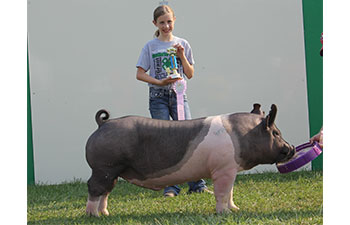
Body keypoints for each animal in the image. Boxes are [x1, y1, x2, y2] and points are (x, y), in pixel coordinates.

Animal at [85, 103, 296, 216]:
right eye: (276, 133)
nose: (292, 148)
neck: (241, 136)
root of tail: (103, 123)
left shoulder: (230, 169)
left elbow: (230, 193)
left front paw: (235, 209)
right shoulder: (222, 169)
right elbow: (221, 193)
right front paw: (225, 213)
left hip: (112, 172)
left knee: (106, 191)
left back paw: (105, 213)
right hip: (103, 167)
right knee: (94, 188)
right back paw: (93, 215)